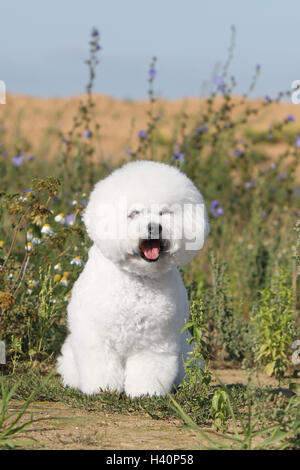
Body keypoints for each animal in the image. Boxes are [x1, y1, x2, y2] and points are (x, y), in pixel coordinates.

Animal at [57, 160, 210, 394]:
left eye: (164, 213)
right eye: (134, 213)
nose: (154, 227)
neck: (139, 278)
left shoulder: (155, 342)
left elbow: (149, 369)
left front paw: (145, 393)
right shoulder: (97, 339)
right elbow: (101, 366)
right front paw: (102, 389)